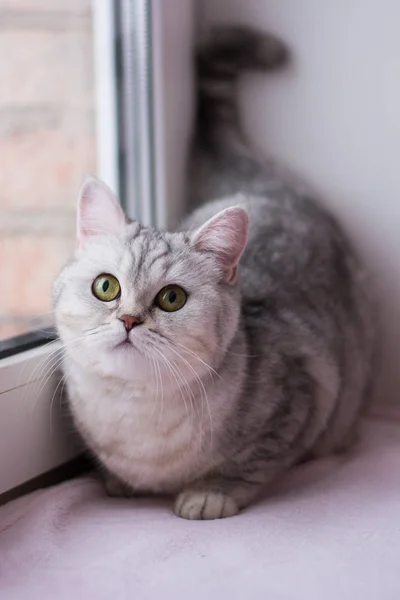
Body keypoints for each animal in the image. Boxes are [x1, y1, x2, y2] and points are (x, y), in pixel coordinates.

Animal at [52, 27, 376, 520]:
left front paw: (209, 493)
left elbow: (247, 466)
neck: (136, 420)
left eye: (171, 298)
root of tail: (263, 185)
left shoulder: (299, 400)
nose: (128, 320)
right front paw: (120, 482)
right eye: (106, 287)